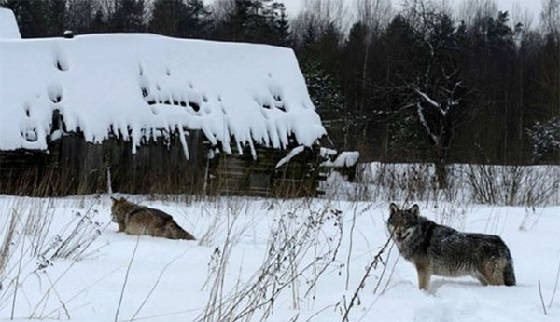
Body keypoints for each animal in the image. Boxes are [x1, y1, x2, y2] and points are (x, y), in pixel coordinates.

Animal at [388, 204, 516, 290]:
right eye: (396, 224)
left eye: (406, 224)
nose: (398, 233)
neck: (420, 235)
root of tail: (502, 243)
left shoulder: (423, 270)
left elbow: (422, 287)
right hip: (482, 278)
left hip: (491, 278)